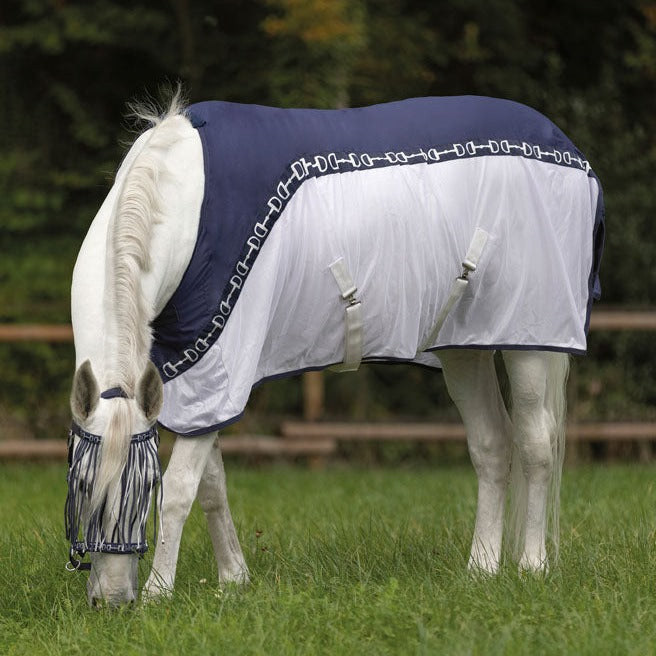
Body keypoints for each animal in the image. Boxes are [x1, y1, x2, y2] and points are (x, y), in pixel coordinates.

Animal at [66, 91, 604, 606]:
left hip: (531, 341)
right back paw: (482, 569)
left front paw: (160, 593)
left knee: (535, 444)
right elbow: (211, 486)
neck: (186, 202)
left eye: (143, 487)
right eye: (83, 485)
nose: (111, 601)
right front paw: (233, 579)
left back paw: (532, 566)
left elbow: (180, 489)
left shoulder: (220, 368)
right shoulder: (191, 377)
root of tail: (571, 151)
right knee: (492, 446)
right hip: (466, 347)